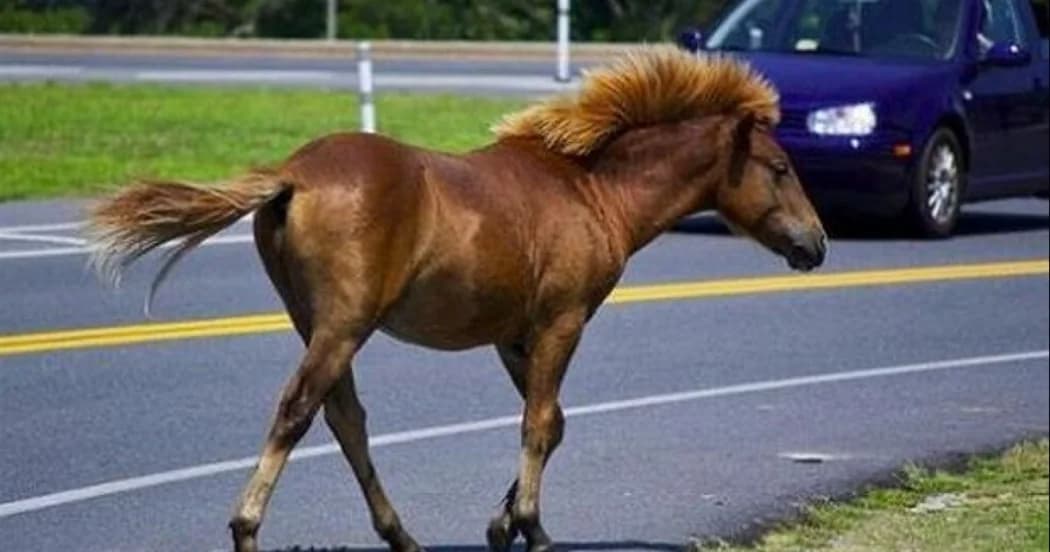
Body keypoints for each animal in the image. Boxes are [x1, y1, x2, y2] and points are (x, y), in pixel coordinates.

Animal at [87, 46, 826, 552]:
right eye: (780, 168)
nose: (816, 245)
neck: (592, 191)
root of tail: (292, 175)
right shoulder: (563, 322)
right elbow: (540, 422)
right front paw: (532, 529)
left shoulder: (513, 334)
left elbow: (552, 421)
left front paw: (503, 526)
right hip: (343, 325)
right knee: (299, 411)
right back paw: (247, 528)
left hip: (316, 322)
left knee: (345, 418)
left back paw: (402, 536)